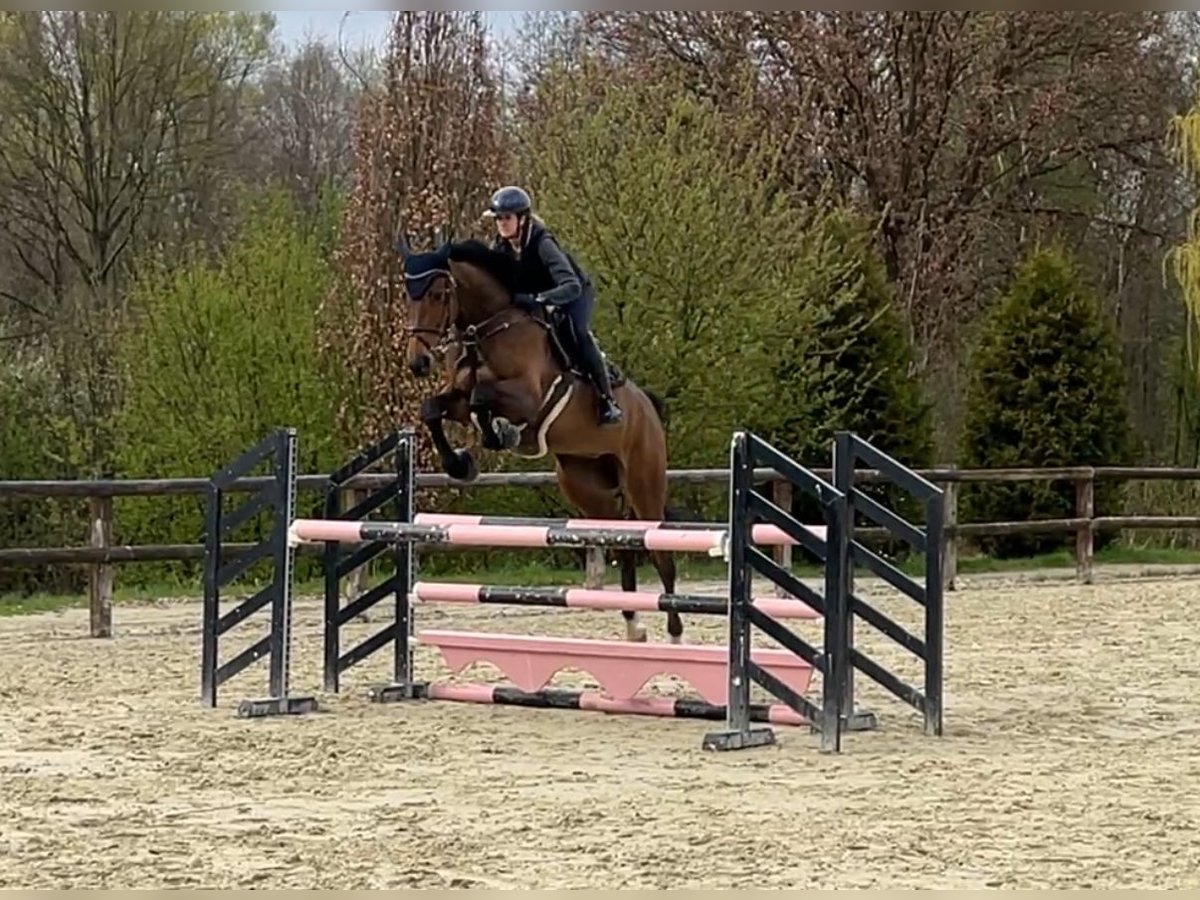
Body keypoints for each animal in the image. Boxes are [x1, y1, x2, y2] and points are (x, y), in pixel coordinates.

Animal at [395, 234, 683, 644]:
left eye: (437, 294)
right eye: (408, 294)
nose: (417, 363)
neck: (487, 329)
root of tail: (648, 406)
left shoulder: (527, 397)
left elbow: (483, 397)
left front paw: (500, 433)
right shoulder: (457, 400)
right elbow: (433, 409)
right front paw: (460, 464)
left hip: (645, 483)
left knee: (661, 553)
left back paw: (674, 634)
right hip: (587, 487)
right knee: (621, 541)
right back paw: (634, 626)